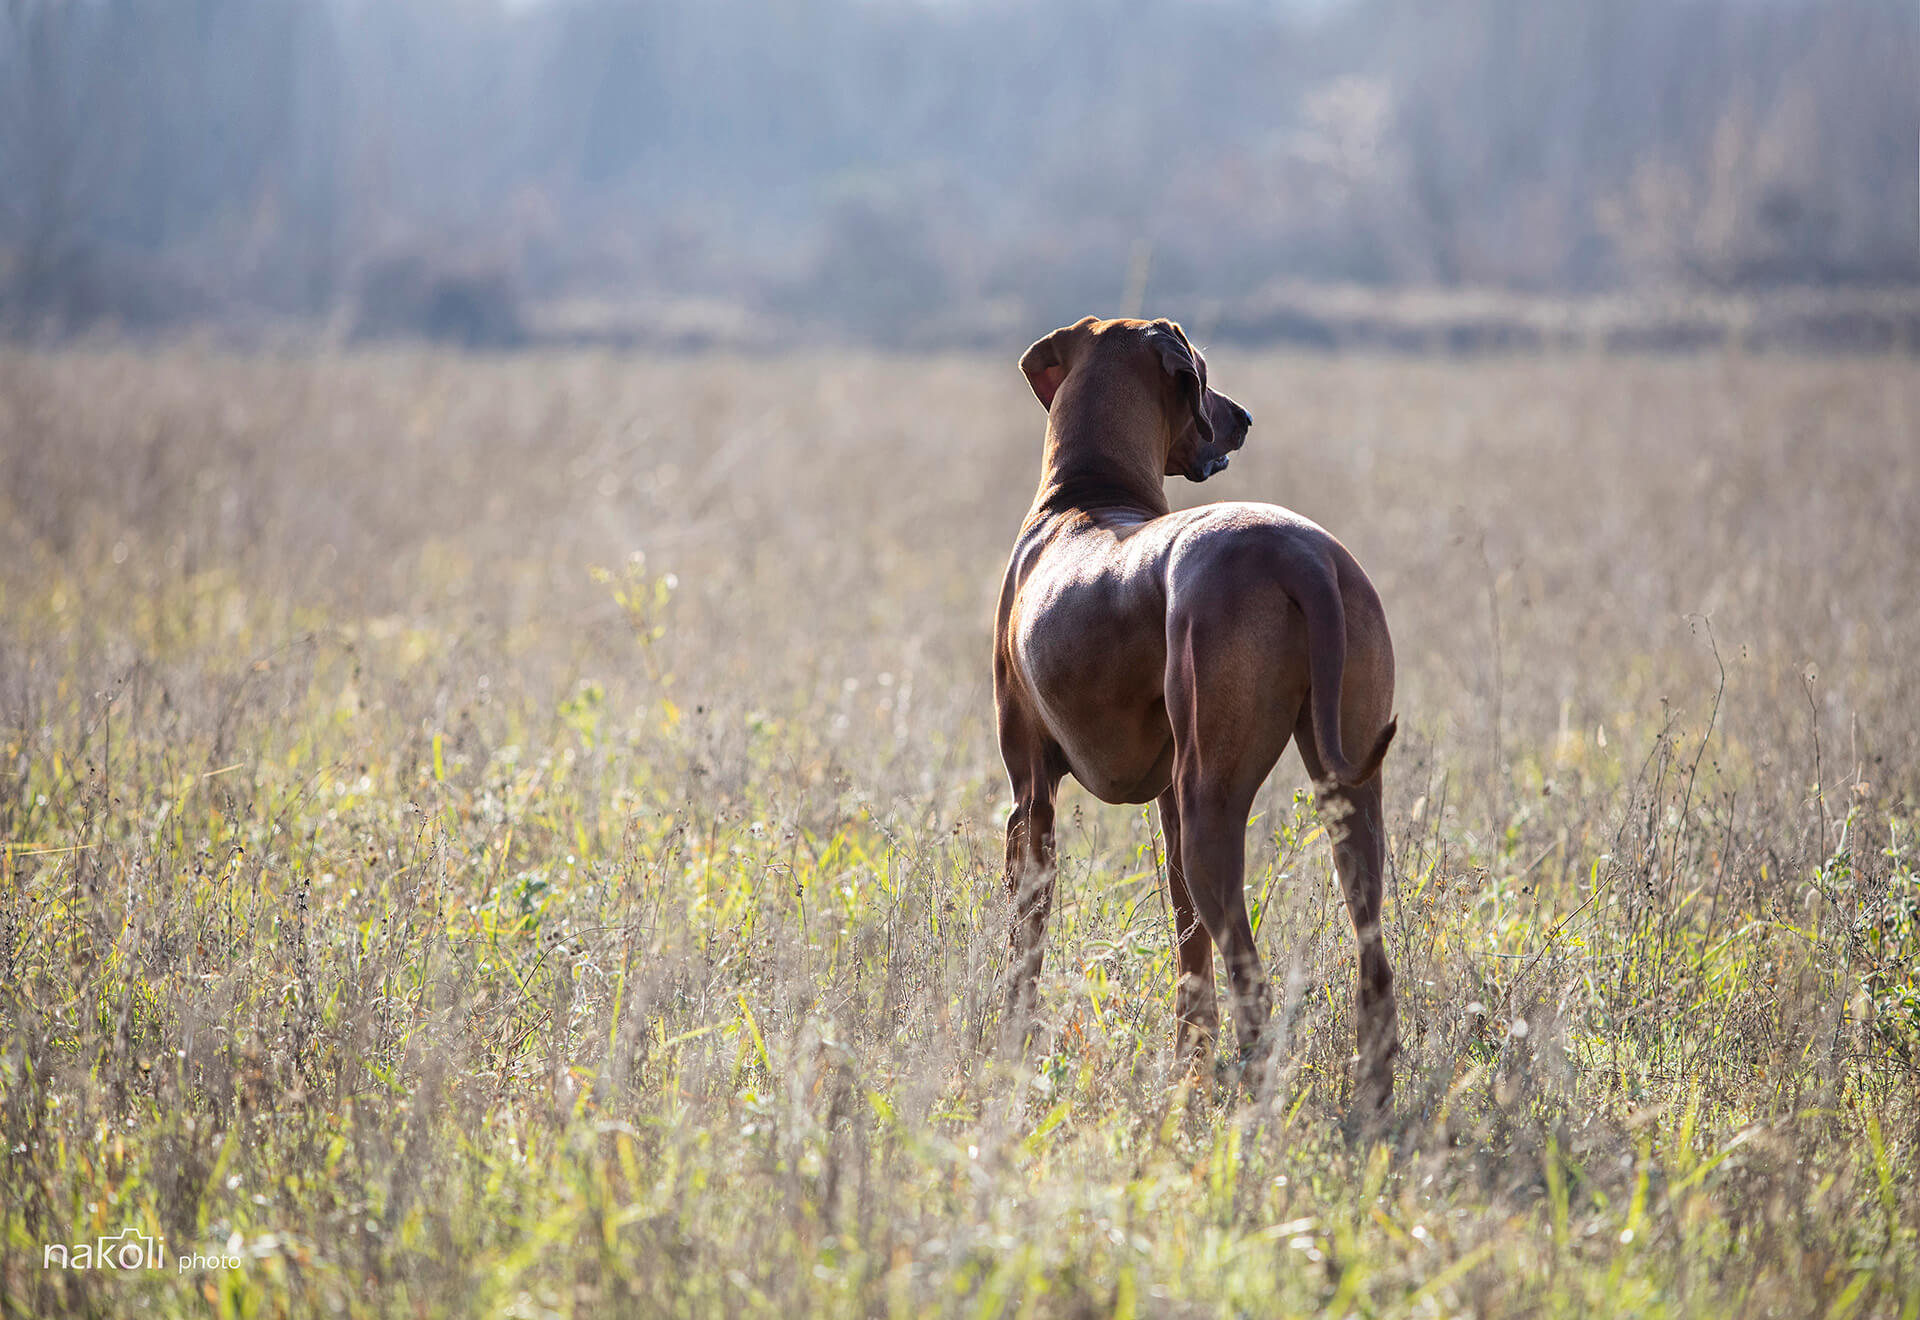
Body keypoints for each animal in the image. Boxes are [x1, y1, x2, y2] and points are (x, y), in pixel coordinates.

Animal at [998, 320, 1405, 1112]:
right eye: (1207, 374)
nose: (1243, 417)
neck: (1082, 498)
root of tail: (1300, 554)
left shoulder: (1030, 801)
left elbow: (1023, 954)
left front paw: (1006, 1054)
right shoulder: (1163, 807)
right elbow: (1189, 953)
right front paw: (1188, 1064)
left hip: (1211, 807)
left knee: (1252, 975)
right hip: (1341, 802)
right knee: (1370, 958)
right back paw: (1371, 1095)